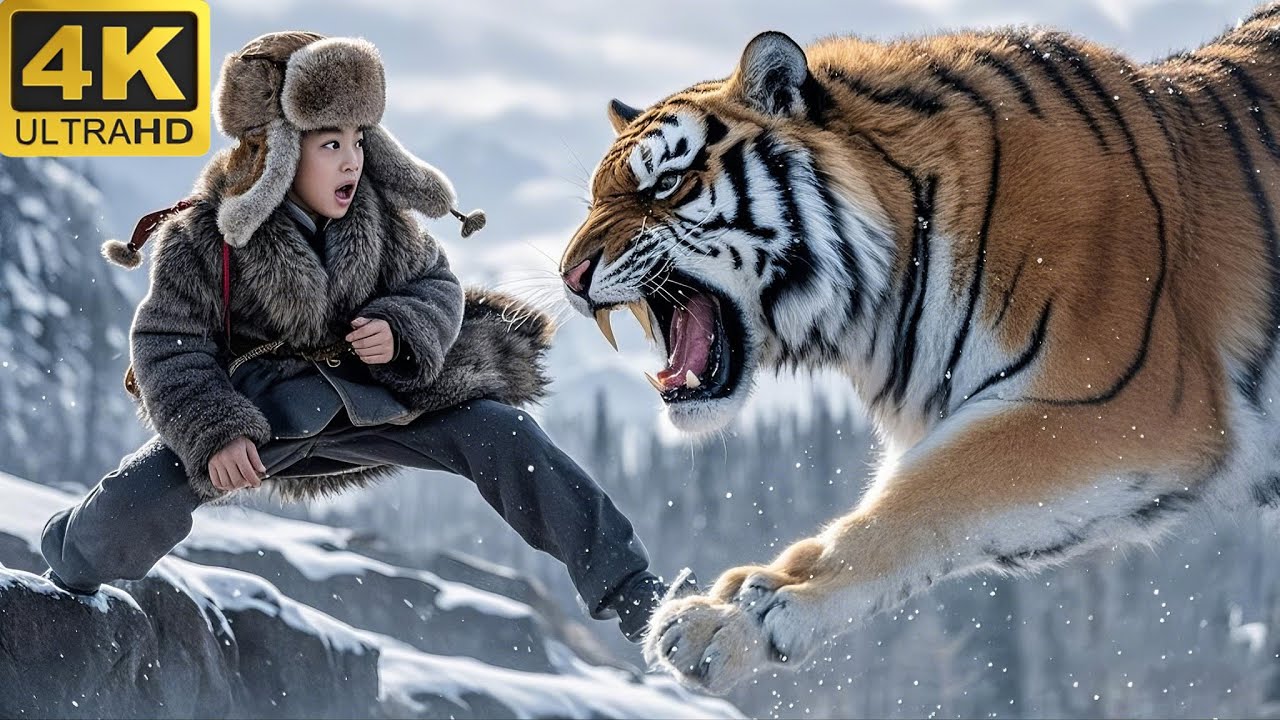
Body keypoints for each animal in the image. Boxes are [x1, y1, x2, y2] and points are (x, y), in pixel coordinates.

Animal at [558, 3, 1280, 694]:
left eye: (666, 184)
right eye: (594, 197)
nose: (569, 276)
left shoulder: (1117, 406)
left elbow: (921, 501)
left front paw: (749, 618)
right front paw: (740, 597)